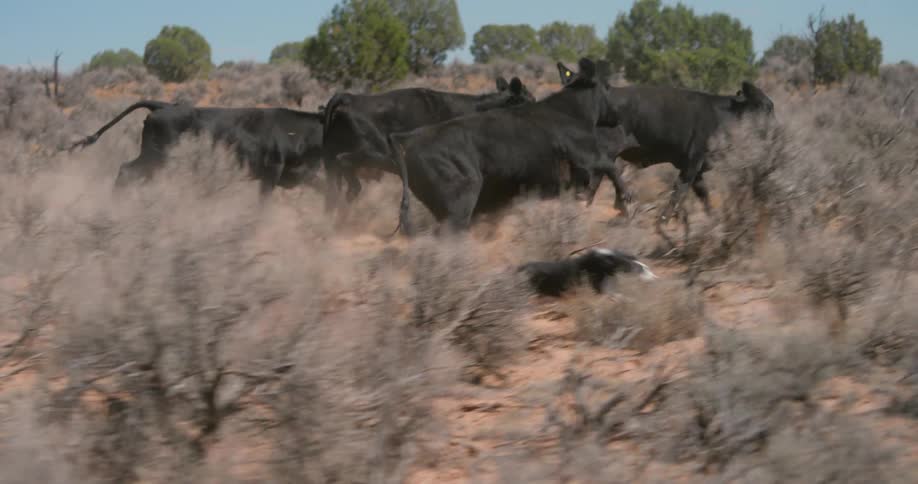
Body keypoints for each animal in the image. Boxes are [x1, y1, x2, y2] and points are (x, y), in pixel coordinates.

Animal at [68, 101, 325, 198]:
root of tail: (164, 105)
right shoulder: (271, 172)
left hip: (151, 160)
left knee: (128, 171)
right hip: (154, 158)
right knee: (126, 171)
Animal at [319, 76, 536, 219]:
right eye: (529, 100)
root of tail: (349, 97)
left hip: (333, 161)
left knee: (335, 189)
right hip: (378, 153)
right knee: (349, 170)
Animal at [385, 57, 631, 236]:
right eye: (607, 86)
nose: (618, 114)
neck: (570, 111)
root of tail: (412, 137)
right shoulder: (584, 154)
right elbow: (610, 166)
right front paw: (624, 199)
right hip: (461, 200)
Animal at [557, 68, 776, 247]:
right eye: (766, 107)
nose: (775, 127)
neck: (725, 115)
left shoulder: (696, 171)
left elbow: (704, 200)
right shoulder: (691, 165)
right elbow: (677, 196)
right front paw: (663, 227)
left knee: (589, 190)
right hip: (601, 154)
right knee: (600, 180)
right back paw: (622, 205)